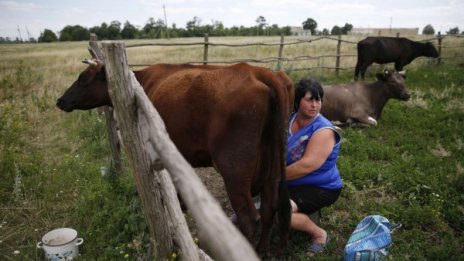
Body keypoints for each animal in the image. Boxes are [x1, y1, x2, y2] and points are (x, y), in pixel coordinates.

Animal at [57, 60, 294, 253]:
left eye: (83, 78)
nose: (60, 100)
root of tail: (259, 72)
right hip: (272, 167)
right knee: (270, 207)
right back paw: (263, 249)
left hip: (234, 171)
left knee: (250, 219)